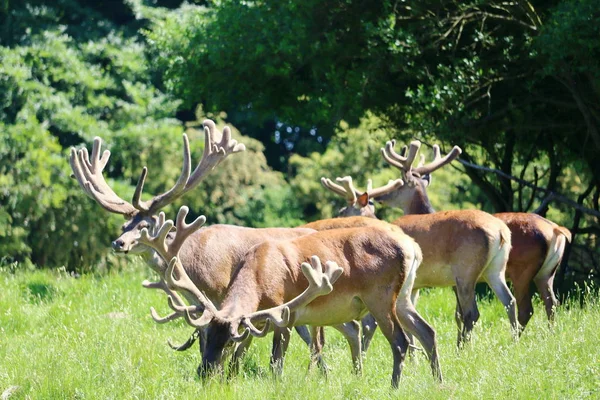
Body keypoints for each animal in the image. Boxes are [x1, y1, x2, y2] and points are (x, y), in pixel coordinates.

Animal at [139, 206, 440, 388]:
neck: (259, 275)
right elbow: (242, 354)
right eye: (205, 337)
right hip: (404, 296)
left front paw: (276, 384)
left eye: (225, 343)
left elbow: (275, 360)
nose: (204, 373)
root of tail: (411, 246)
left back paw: (394, 386)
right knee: (427, 331)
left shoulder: (285, 313)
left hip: (380, 296)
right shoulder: (255, 321)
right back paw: (438, 380)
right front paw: (231, 378)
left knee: (400, 341)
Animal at [372, 141, 576, 332]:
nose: (378, 197)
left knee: (516, 309)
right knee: (546, 302)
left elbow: (458, 315)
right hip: (541, 272)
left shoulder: (452, 280)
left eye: (398, 184)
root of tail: (557, 229)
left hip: (505, 270)